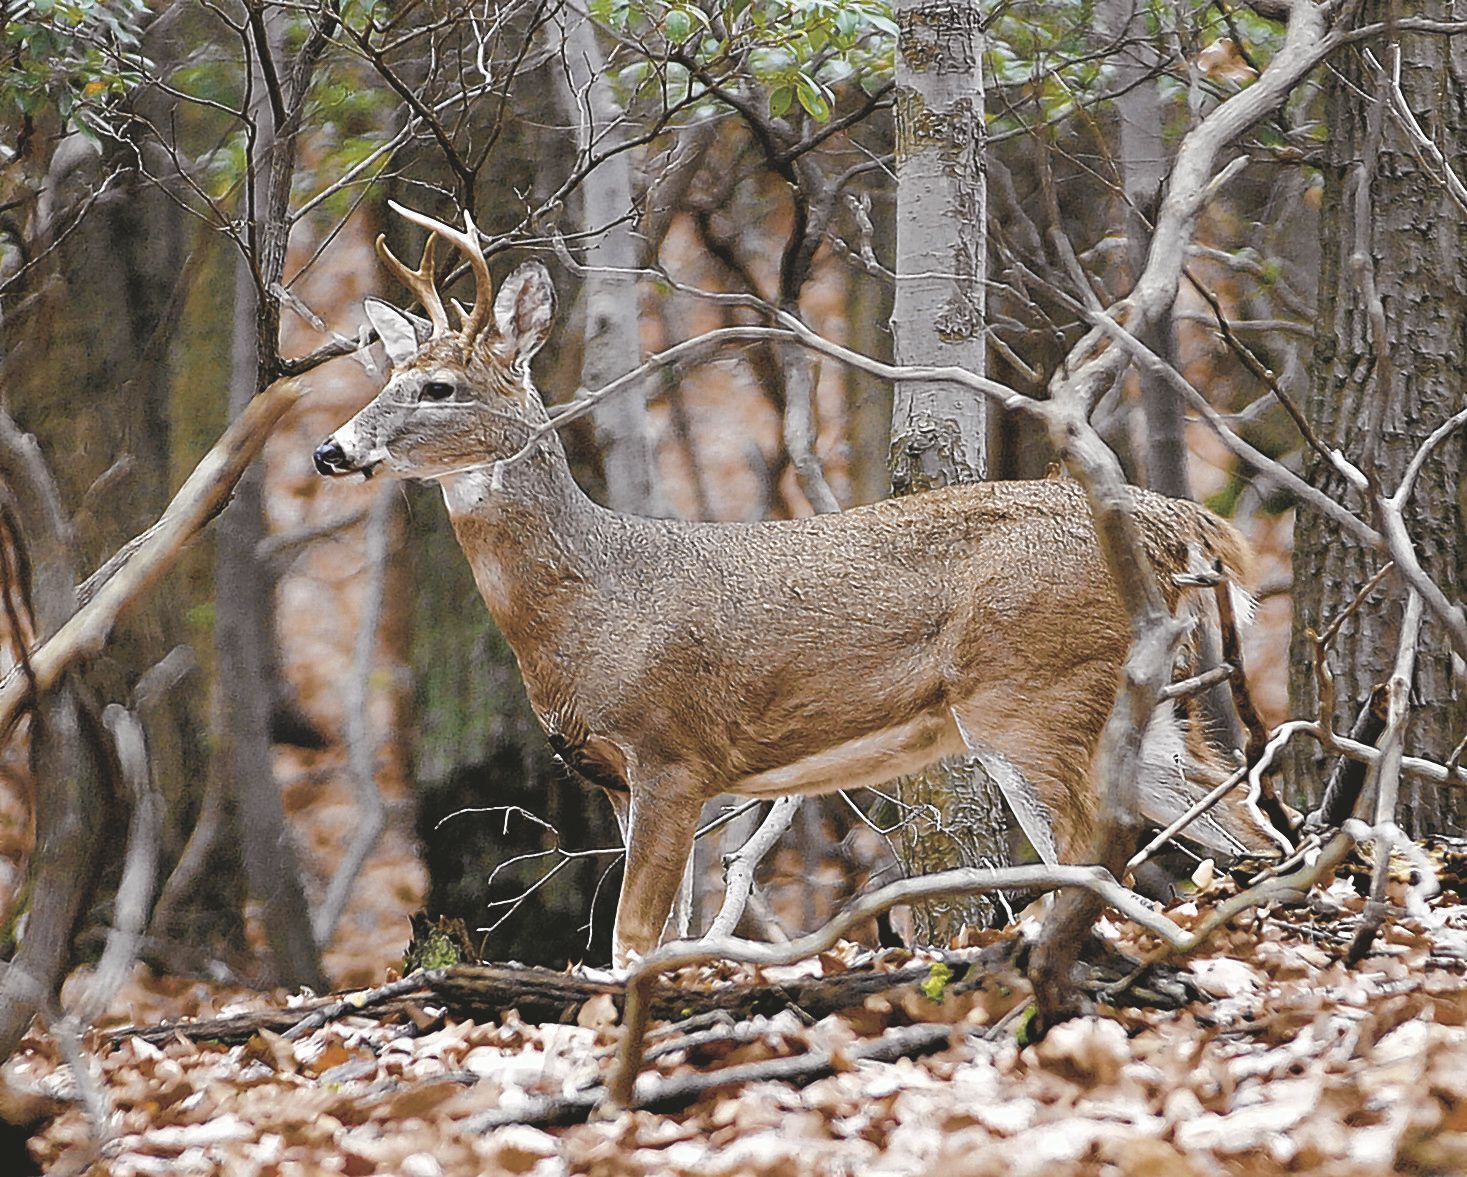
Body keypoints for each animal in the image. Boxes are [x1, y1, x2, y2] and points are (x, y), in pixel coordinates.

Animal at [312, 206, 1285, 968]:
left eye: (439, 387)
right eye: (387, 375)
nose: (331, 449)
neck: (595, 602)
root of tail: (1179, 524)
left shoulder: (673, 751)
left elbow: (632, 942)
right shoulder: (624, 780)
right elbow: (667, 936)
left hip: (1030, 693)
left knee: (1096, 856)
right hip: (1139, 704)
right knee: (1247, 825)